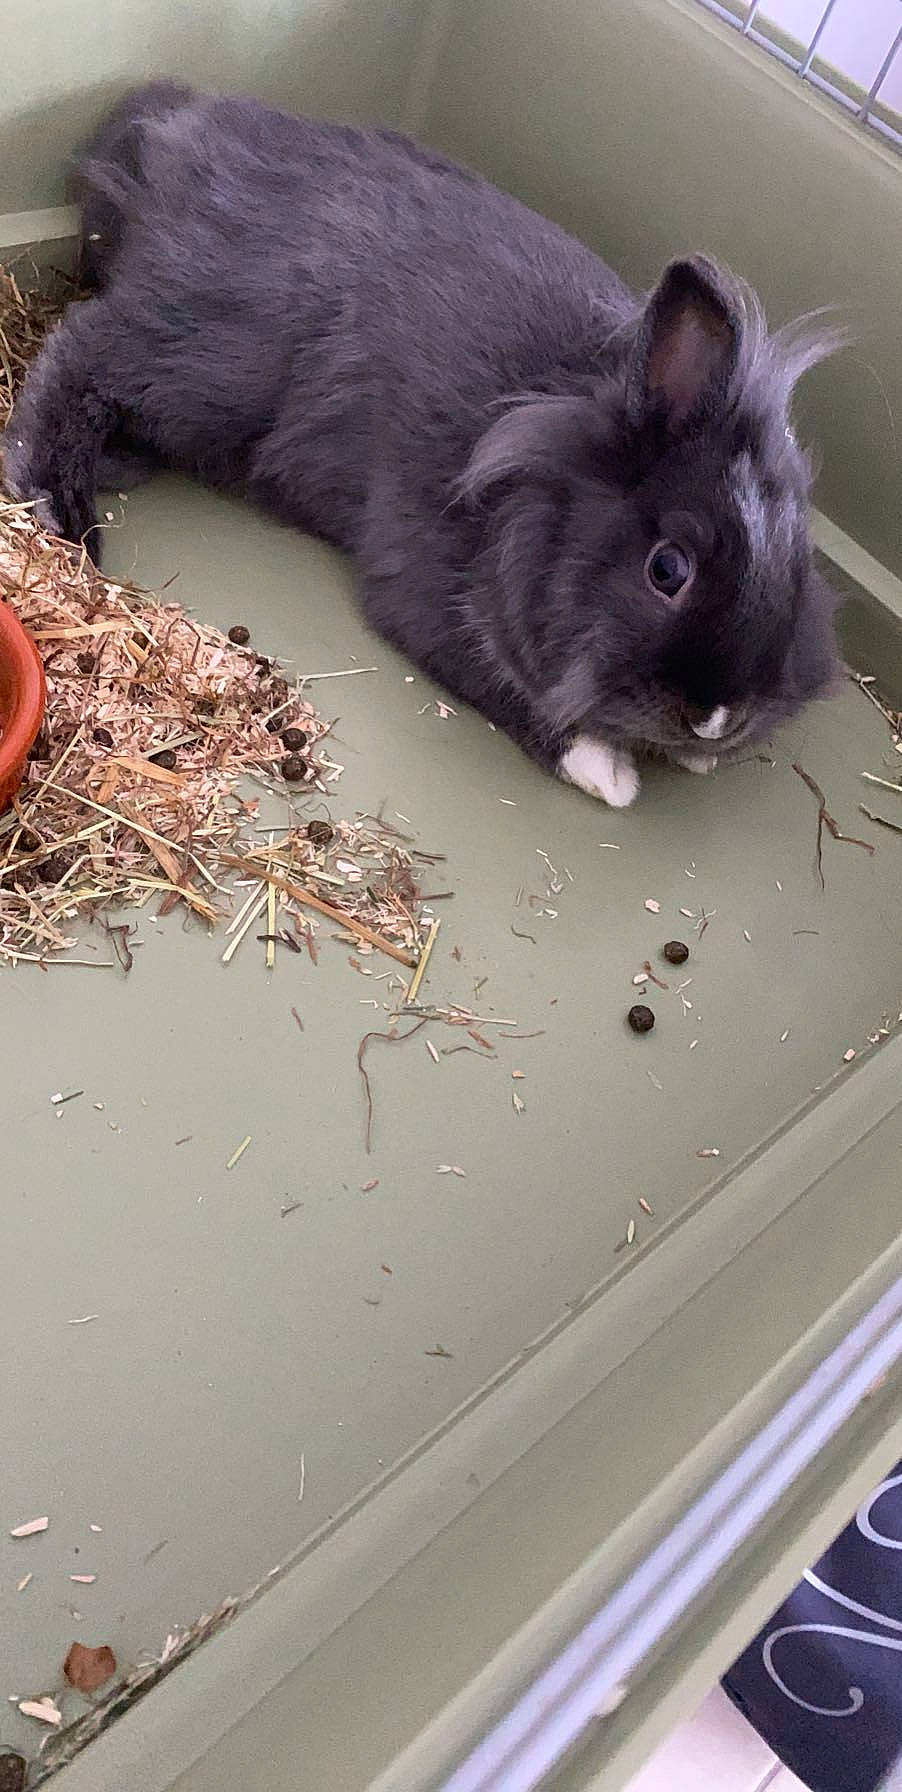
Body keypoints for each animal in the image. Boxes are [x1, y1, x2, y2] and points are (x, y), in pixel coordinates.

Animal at [3, 83, 842, 807]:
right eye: (667, 569)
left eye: (799, 569)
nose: (718, 717)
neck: (550, 471)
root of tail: (175, 134)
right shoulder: (431, 588)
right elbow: (500, 682)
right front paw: (608, 772)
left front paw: (698, 758)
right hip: (205, 363)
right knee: (81, 351)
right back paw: (57, 511)